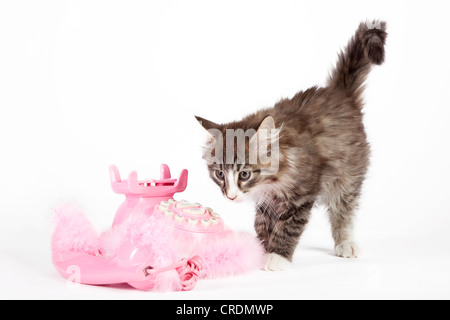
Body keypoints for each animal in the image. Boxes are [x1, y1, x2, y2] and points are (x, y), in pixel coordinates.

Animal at [195, 20, 384, 270]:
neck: (273, 181)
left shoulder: (301, 197)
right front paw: (260, 250)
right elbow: (262, 224)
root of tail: (340, 94)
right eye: (219, 174)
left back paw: (346, 242)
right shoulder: (267, 202)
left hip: (348, 174)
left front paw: (277, 256)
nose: (231, 197)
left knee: (343, 209)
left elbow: (288, 228)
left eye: (244, 174)